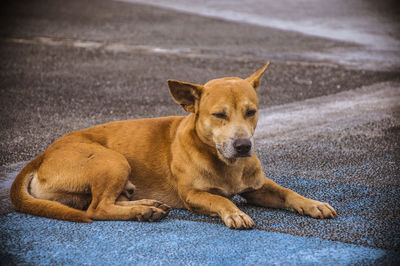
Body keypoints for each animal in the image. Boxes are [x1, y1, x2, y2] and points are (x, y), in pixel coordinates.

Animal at [9, 62, 336, 229]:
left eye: (251, 112)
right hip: (112, 160)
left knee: (104, 201)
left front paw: (313, 203)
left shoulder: (258, 187)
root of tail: (42, 154)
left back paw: (147, 206)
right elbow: (220, 200)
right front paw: (232, 211)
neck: (224, 162)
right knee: (96, 209)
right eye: (219, 115)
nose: (244, 145)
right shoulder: (194, 195)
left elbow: (288, 192)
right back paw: (142, 212)